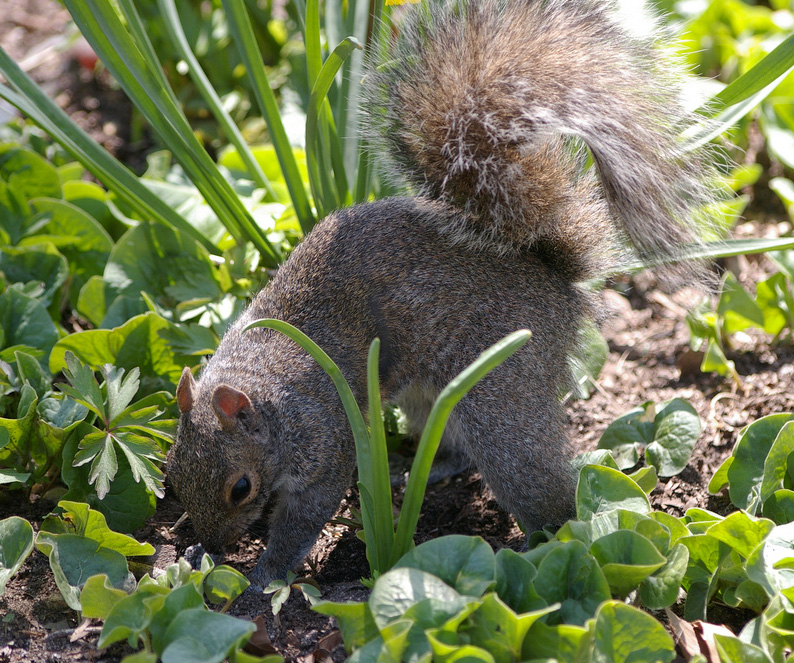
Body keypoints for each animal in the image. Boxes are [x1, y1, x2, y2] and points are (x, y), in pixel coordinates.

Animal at [167, 0, 720, 587]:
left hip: (503, 393)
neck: (263, 387)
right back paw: (415, 469)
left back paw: (541, 548)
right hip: (429, 393)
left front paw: (264, 573)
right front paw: (196, 556)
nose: (215, 543)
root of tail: (554, 282)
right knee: (455, 445)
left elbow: (306, 513)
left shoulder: (324, 439)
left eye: (241, 487)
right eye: (172, 475)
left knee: (536, 484)